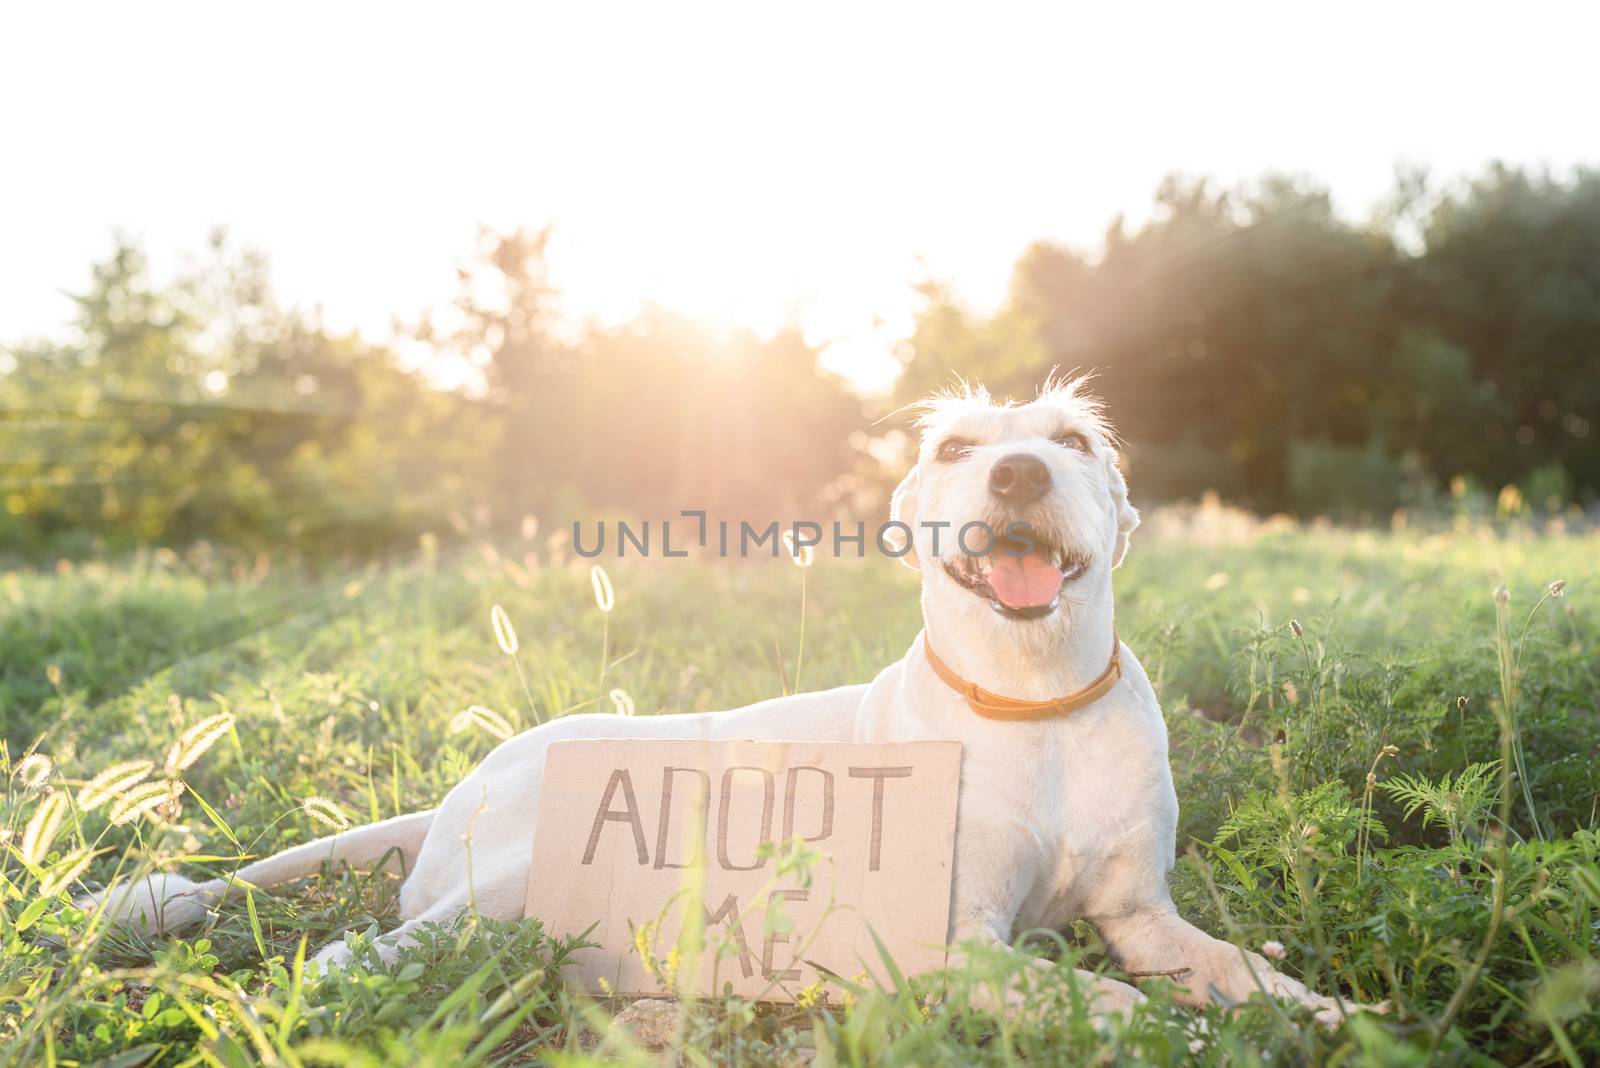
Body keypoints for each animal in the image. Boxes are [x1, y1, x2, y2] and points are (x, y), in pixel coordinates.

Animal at [87, 378, 1356, 1023]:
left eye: (1074, 439)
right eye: (955, 446)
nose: (1016, 472)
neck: (1030, 699)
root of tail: (467, 780)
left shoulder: (1142, 918)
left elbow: (1249, 976)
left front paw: (1333, 1021)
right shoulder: (953, 945)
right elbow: (1107, 1006)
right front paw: (1184, 1038)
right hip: (517, 886)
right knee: (368, 952)